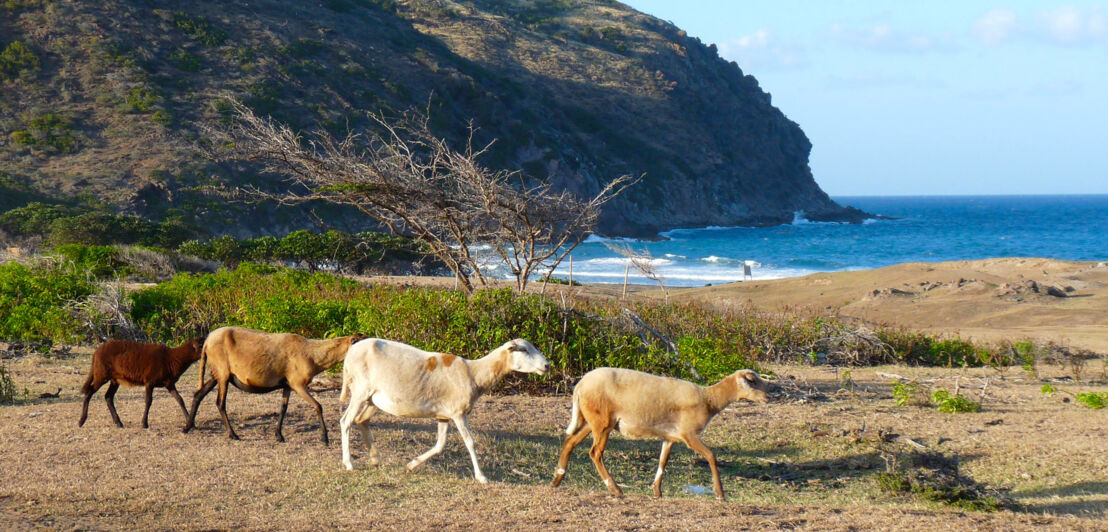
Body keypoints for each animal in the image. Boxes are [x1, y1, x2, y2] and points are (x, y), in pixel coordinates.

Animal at [80, 339, 208, 430]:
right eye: (201, 345)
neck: (171, 359)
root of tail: (96, 353)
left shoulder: (169, 383)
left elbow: (180, 399)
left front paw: (191, 423)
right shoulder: (149, 382)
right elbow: (148, 401)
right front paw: (144, 424)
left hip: (115, 379)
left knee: (108, 396)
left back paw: (118, 423)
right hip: (101, 374)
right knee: (90, 391)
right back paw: (81, 421)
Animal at [183, 323, 365, 445]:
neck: (312, 354)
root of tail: (207, 341)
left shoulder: (287, 385)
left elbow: (283, 409)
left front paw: (279, 435)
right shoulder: (297, 384)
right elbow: (318, 406)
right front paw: (324, 438)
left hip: (216, 374)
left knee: (198, 394)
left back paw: (187, 427)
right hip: (222, 373)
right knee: (220, 403)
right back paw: (233, 434)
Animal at [334, 339, 547, 483]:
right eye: (524, 349)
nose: (547, 365)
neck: (474, 373)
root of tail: (350, 353)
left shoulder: (443, 415)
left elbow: (440, 445)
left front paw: (411, 465)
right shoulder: (458, 412)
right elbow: (470, 443)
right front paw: (481, 477)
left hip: (374, 400)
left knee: (361, 420)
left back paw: (375, 459)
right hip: (360, 391)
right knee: (346, 421)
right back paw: (349, 463)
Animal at [547, 365, 771, 498]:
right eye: (752, 381)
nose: (769, 396)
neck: (709, 399)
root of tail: (580, 385)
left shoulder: (670, 436)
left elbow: (663, 461)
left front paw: (656, 491)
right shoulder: (688, 434)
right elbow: (711, 456)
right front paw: (719, 493)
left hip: (591, 420)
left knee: (570, 442)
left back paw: (557, 479)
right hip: (602, 422)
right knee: (595, 453)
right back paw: (615, 489)